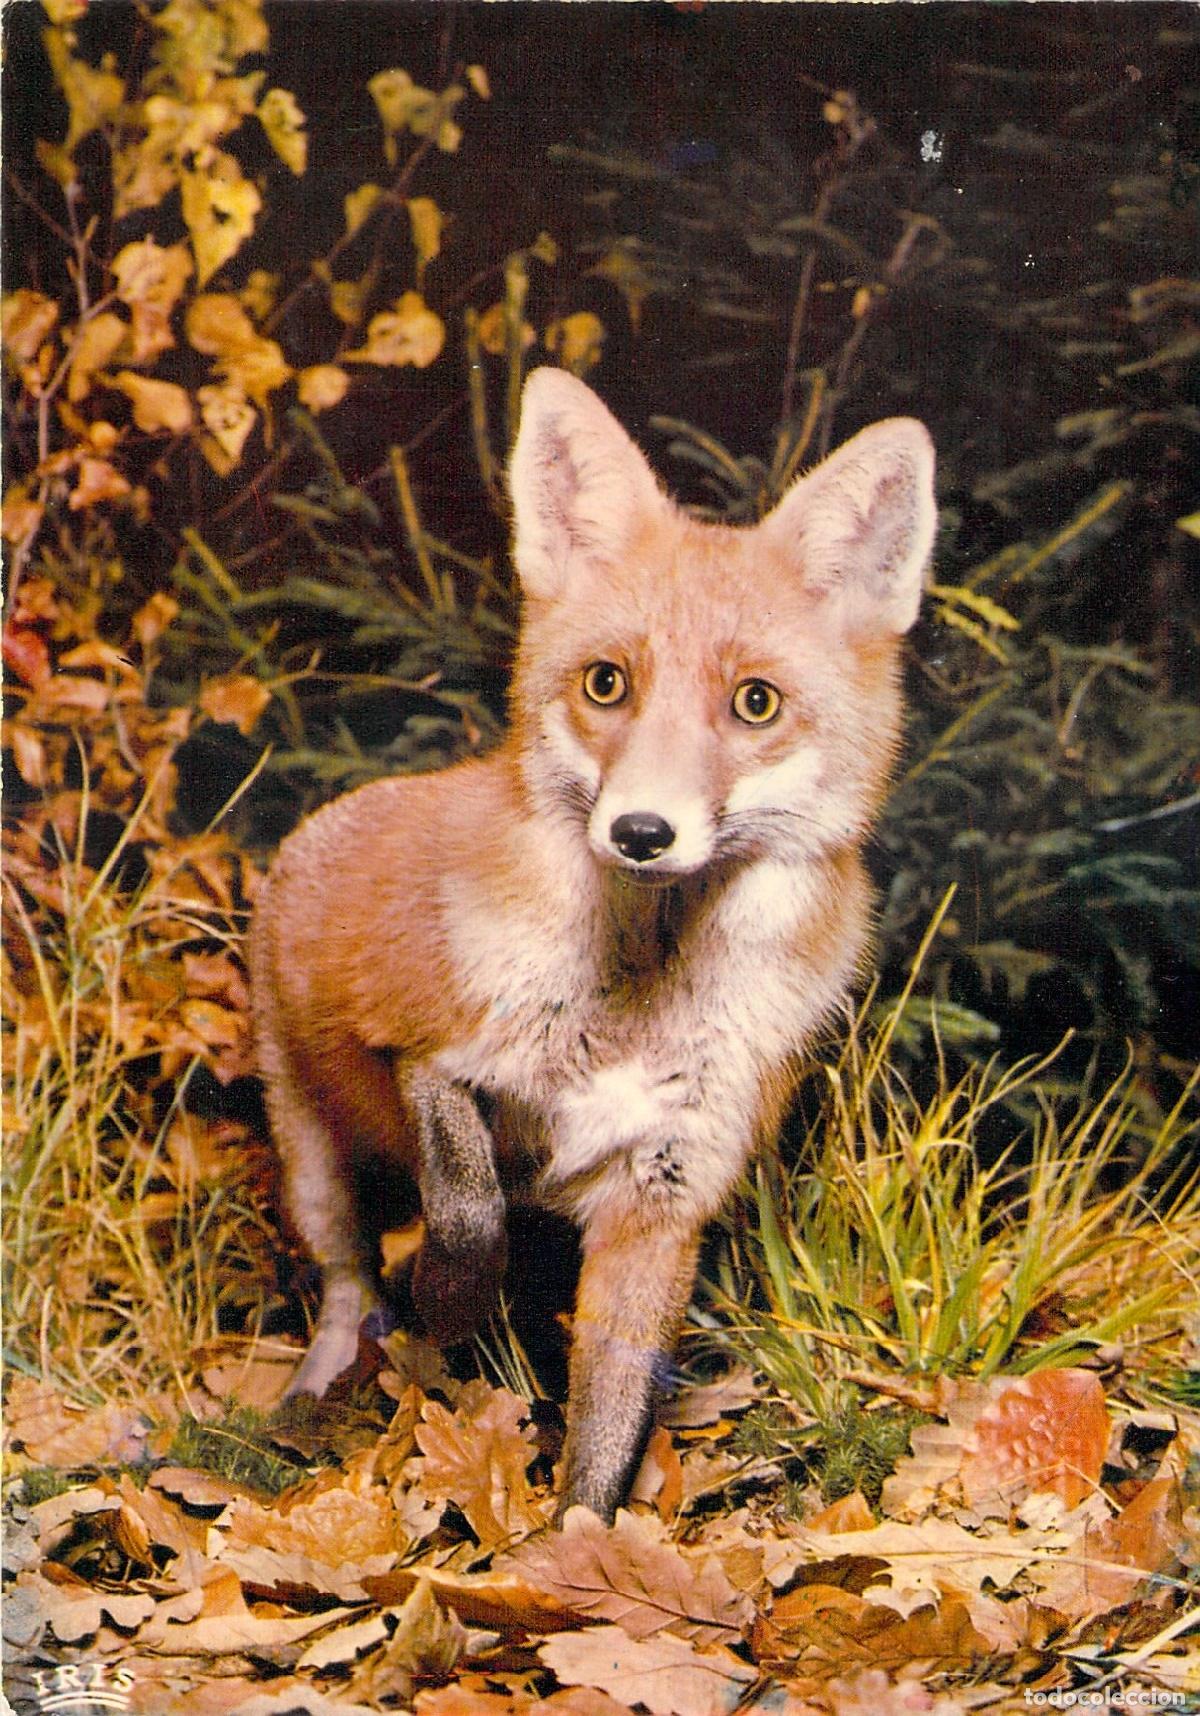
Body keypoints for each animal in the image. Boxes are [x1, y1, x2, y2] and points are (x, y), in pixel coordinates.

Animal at [249, 367, 936, 1522]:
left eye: (755, 703)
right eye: (606, 683)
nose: (642, 833)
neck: (635, 1004)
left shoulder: (665, 1191)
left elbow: (610, 1423)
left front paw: (576, 1550)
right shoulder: (420, 1045)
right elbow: (466, 1204)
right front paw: (452, 1297)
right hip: (311, 1162)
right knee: (349, 1284)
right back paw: (333, 1378)